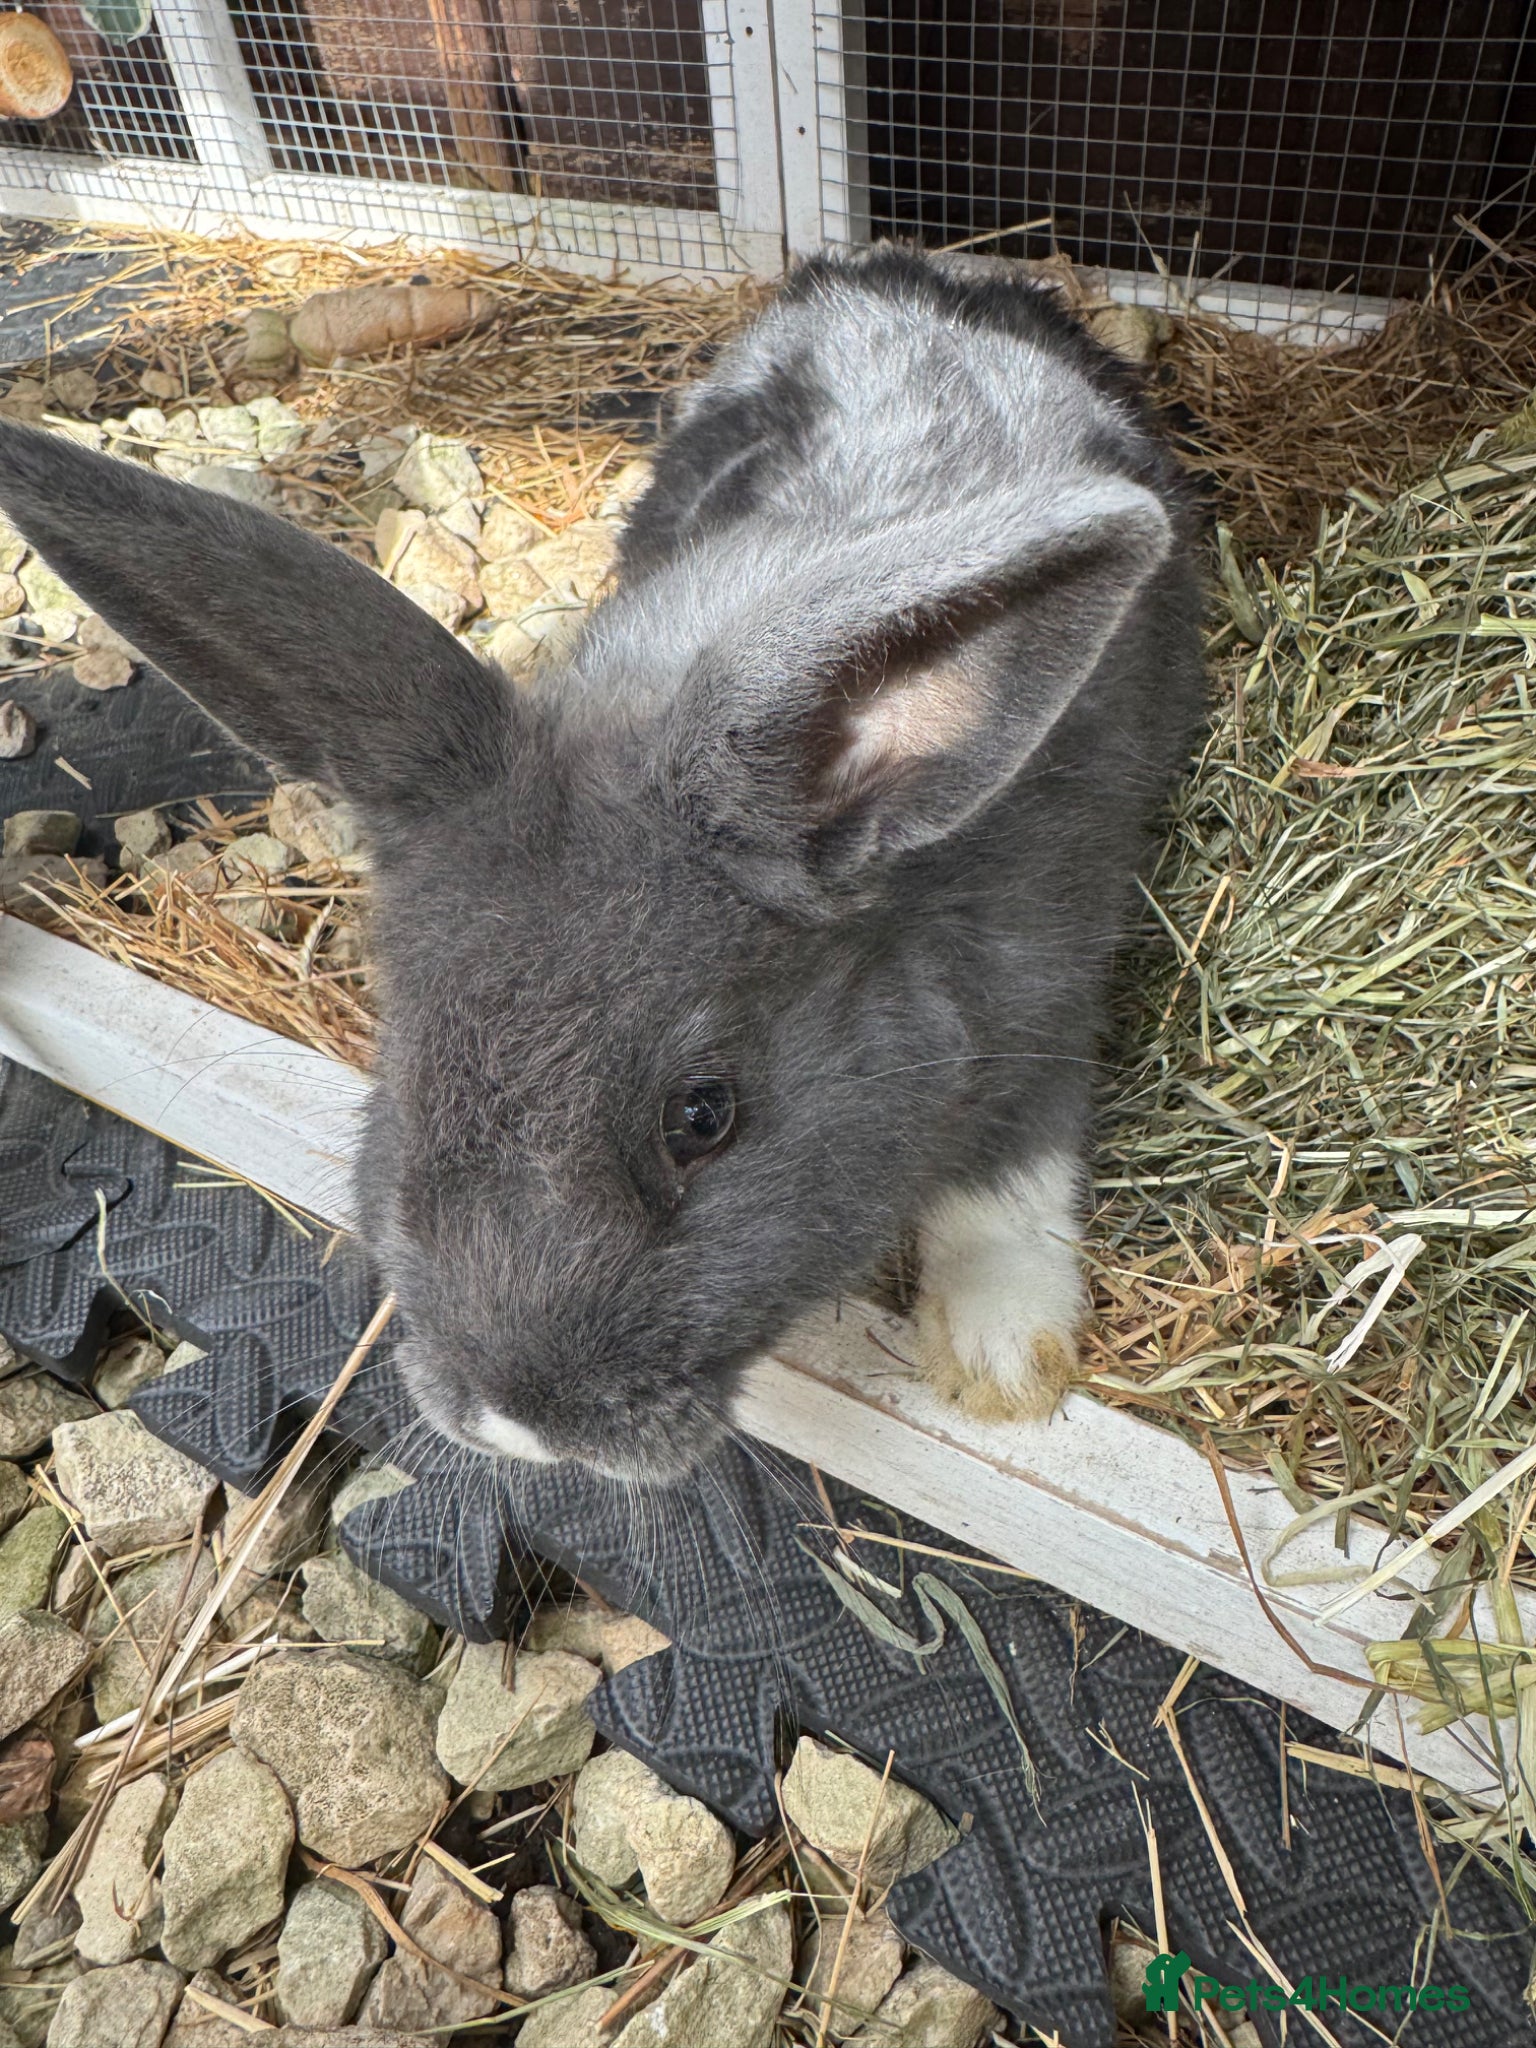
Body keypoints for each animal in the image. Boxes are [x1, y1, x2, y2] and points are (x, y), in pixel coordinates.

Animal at [0, 246, 1205, 1483]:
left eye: (704, 1116)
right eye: (406, 1061)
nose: (515, 1423)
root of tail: (915, 277)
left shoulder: (1050, 980)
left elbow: (1010, 1177)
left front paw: (1002, 1366)